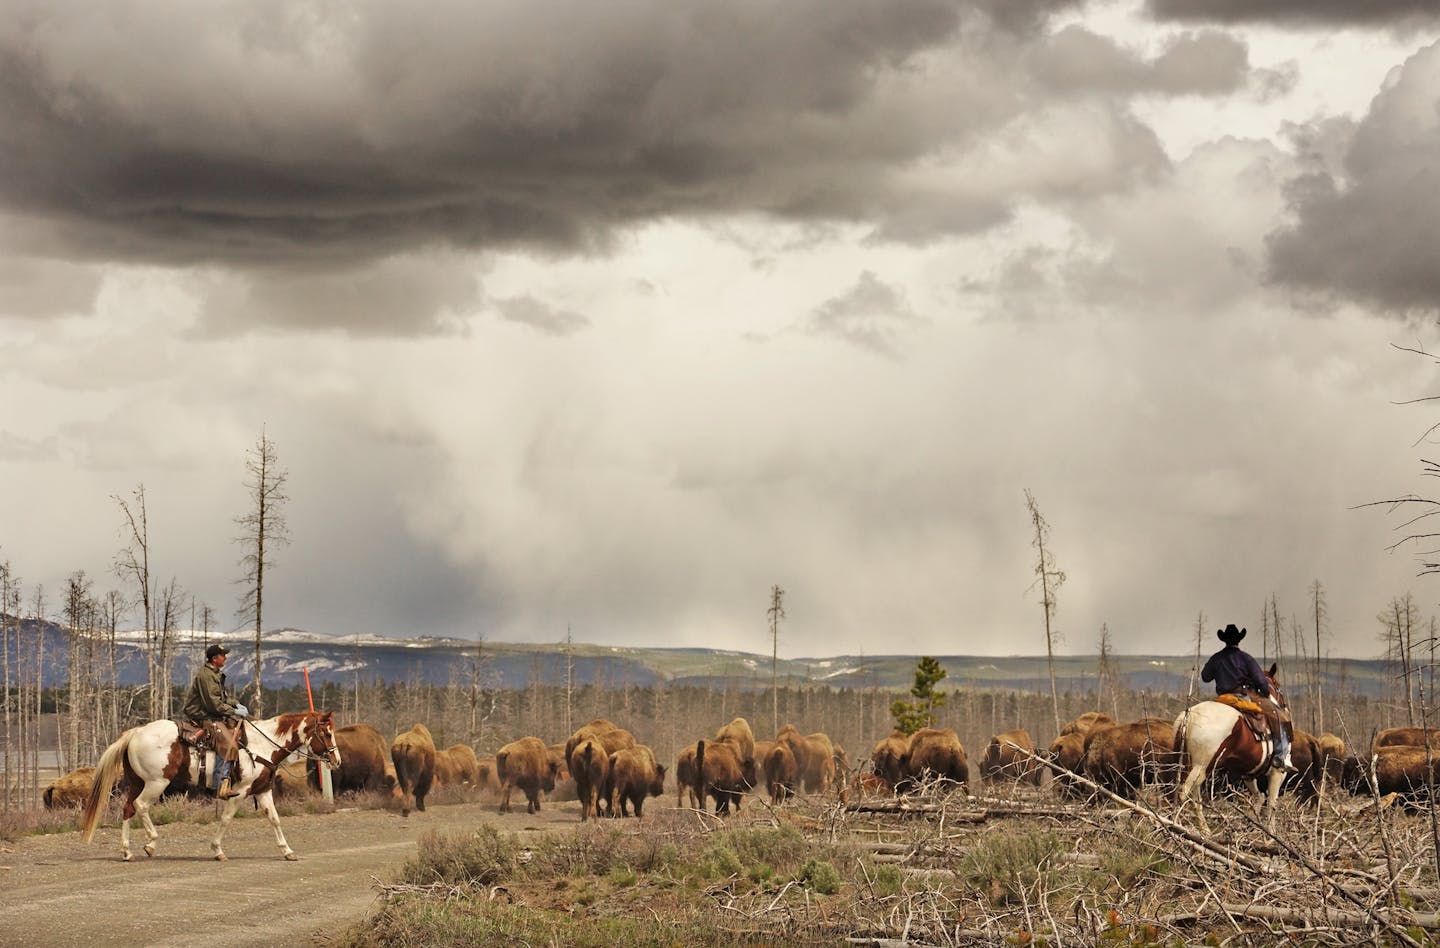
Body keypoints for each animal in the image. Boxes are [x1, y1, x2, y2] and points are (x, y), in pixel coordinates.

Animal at [82, 708, 341, 858]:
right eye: (327, 733)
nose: (336, 761)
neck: (262, 745)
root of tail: (135, 732)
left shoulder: (263, 790)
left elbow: (275, 819)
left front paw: (287, 851)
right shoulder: (240, 791)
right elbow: (226, 819)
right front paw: (217, 850)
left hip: (137, 781)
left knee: (128, 808)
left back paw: (126, 851)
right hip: (157, 782)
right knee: (141, 806)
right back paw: (150, 844)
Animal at [1175, 659, 1290, 829]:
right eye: (1278, 686)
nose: (1284, 706)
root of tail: (1189, 717)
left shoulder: (1249, 774)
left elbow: (1259, 797)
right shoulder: (1277, 773)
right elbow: (1271, 805)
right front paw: (1270, 833)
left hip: (1191, 767)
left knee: (1193, 798)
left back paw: (1203, 830)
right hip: (1200, 767)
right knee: (1184, 793)